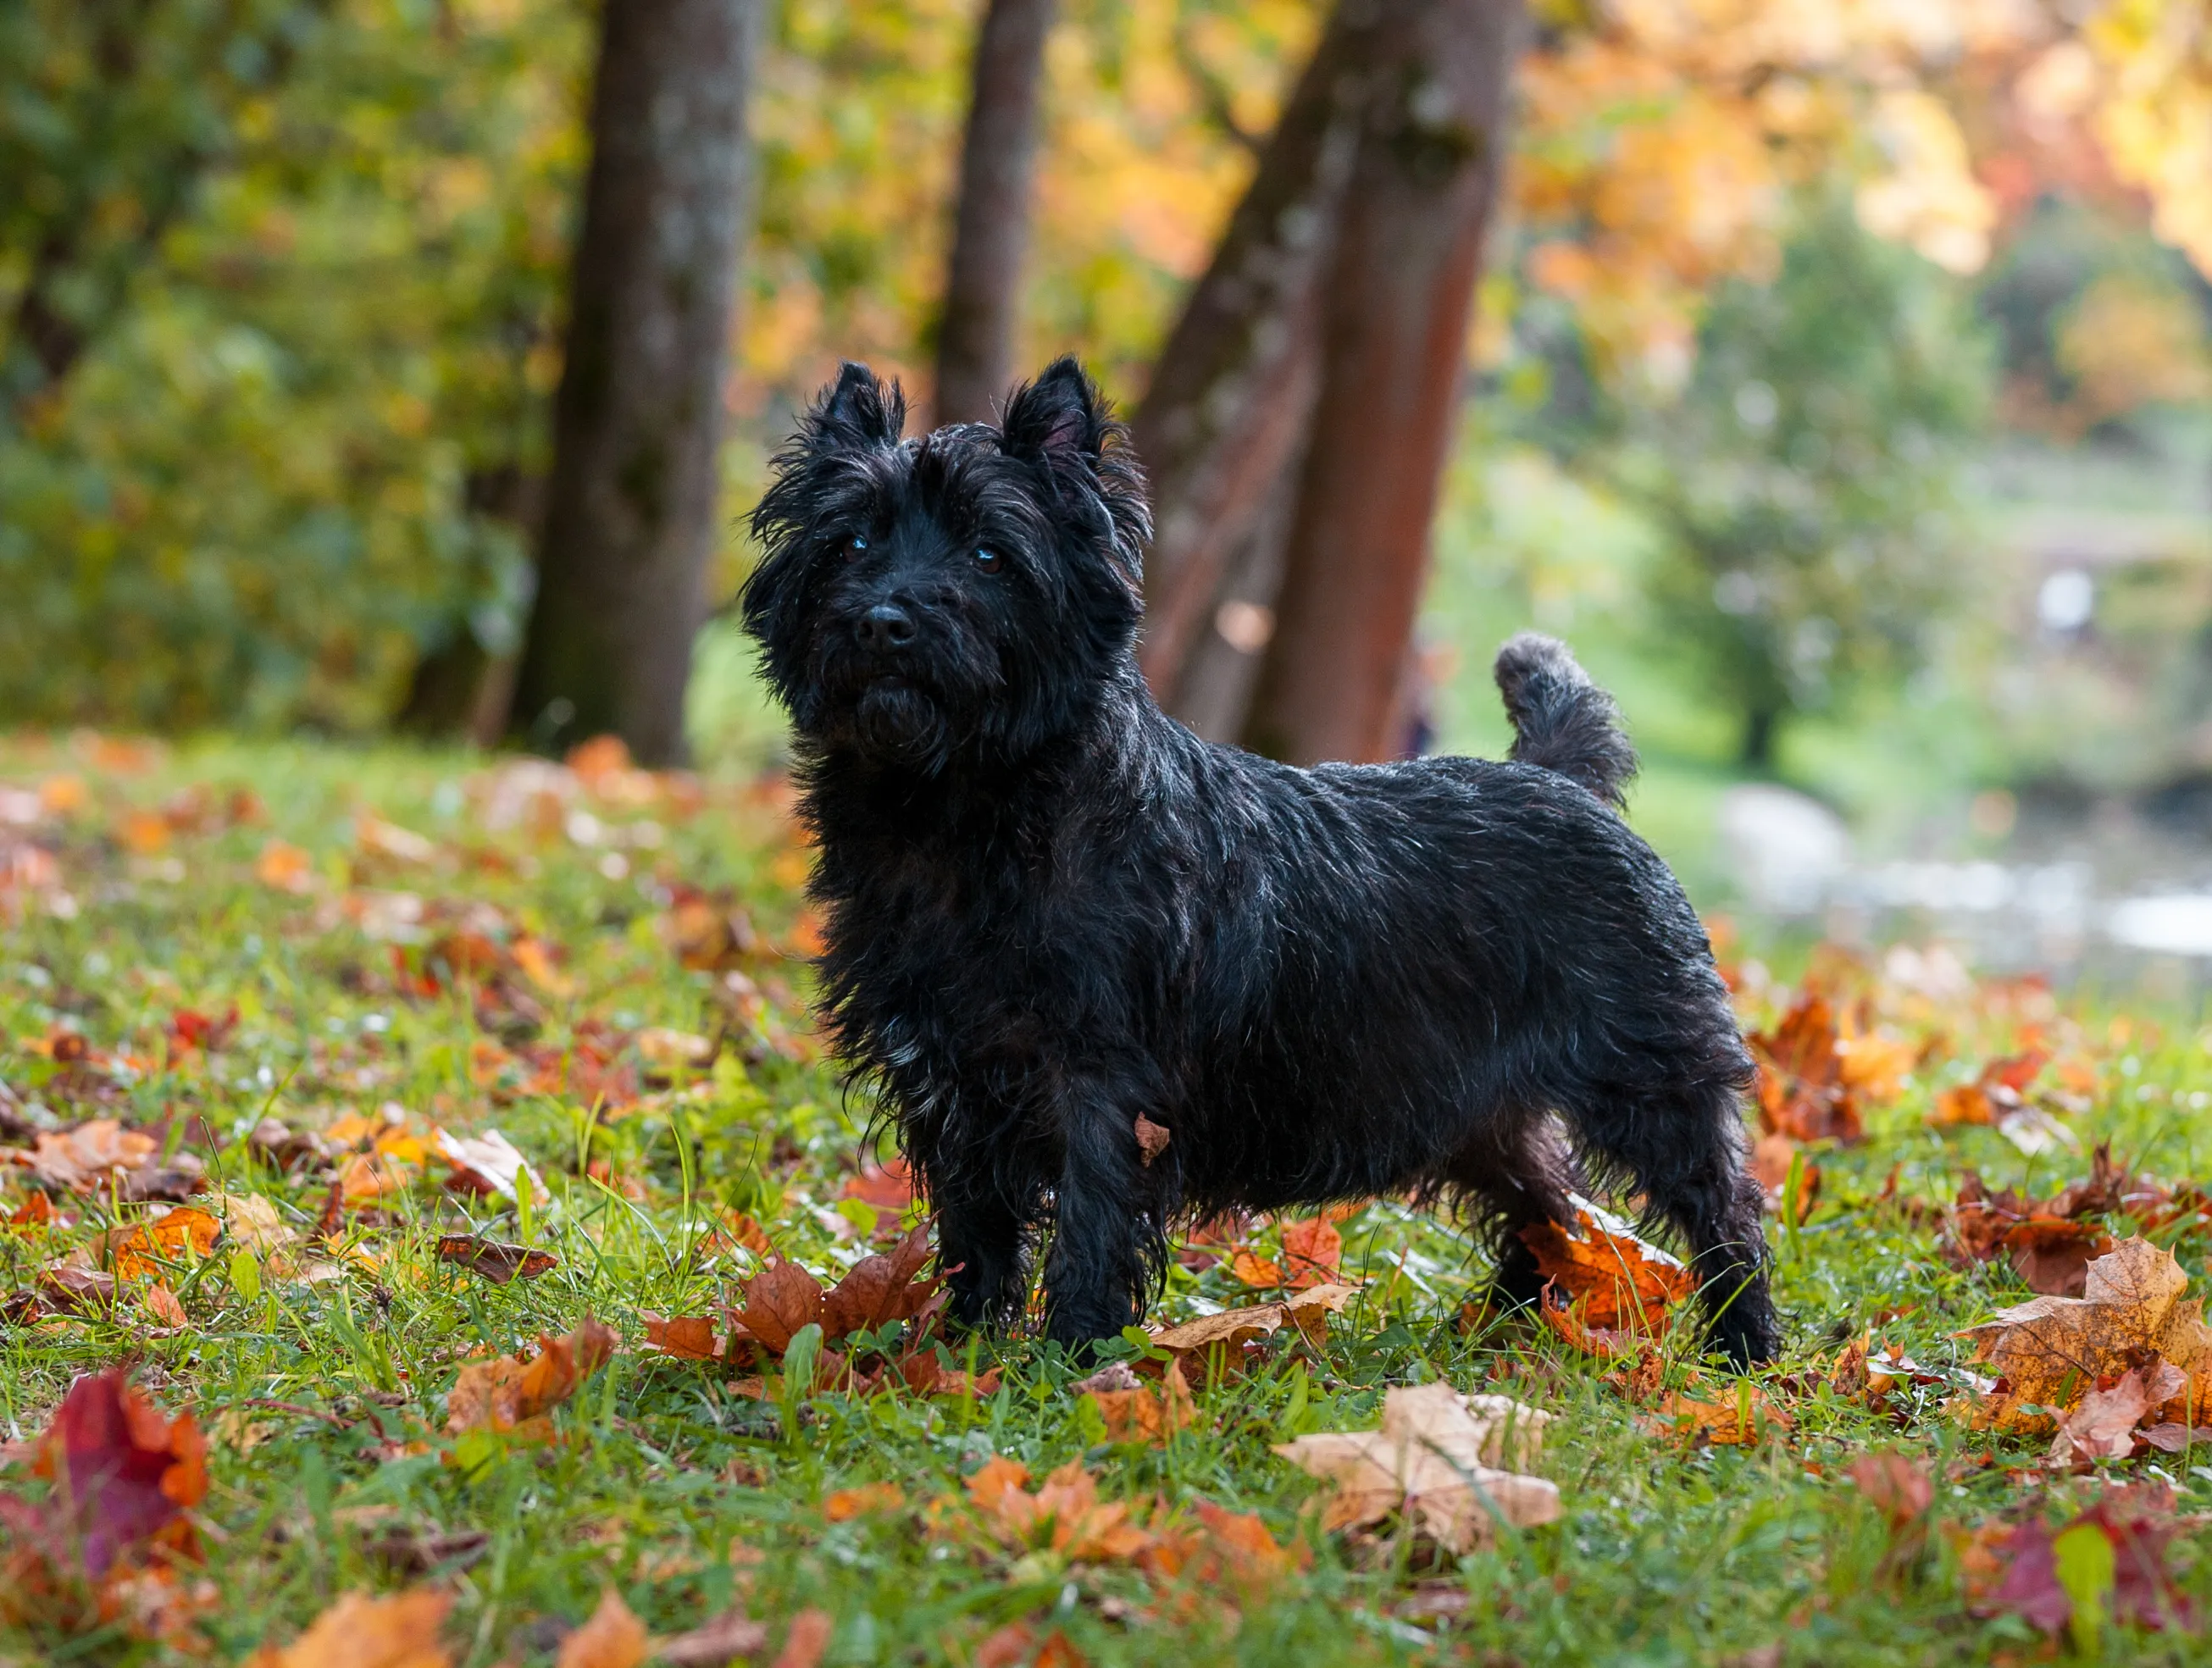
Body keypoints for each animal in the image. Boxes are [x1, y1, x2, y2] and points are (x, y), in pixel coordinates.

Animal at [743, 353, 1778, 1362]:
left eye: (990, 553)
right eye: (851, 543)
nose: (884, 620)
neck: (960, 814)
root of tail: (1559, 777)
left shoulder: (1101, 1081)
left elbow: (1089, 1216)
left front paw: (1072, 1357)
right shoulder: (948, 1076)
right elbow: (975, 1227)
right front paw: (959, 1352)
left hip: (1651, 1076)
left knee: (1720, 1207)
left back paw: (1743, 1350)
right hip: (1475, 1108)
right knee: (1547, 1199)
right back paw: (1503, 1326)